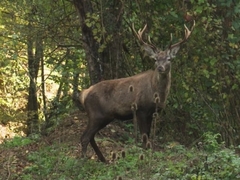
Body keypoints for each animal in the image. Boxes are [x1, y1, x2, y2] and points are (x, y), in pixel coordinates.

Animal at [72, 20, 195, 162]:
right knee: (85, 137)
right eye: (155, 59)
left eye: (169, 59)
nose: (160, 68)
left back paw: (103, 159)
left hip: (103, 116)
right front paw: (145, 156)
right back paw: (84, 159)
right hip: (96, 114)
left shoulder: (152, 113)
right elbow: (144, 137)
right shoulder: (140, 109)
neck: (157, 93)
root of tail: (84, 94)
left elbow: (147, 136)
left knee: (91, 136)